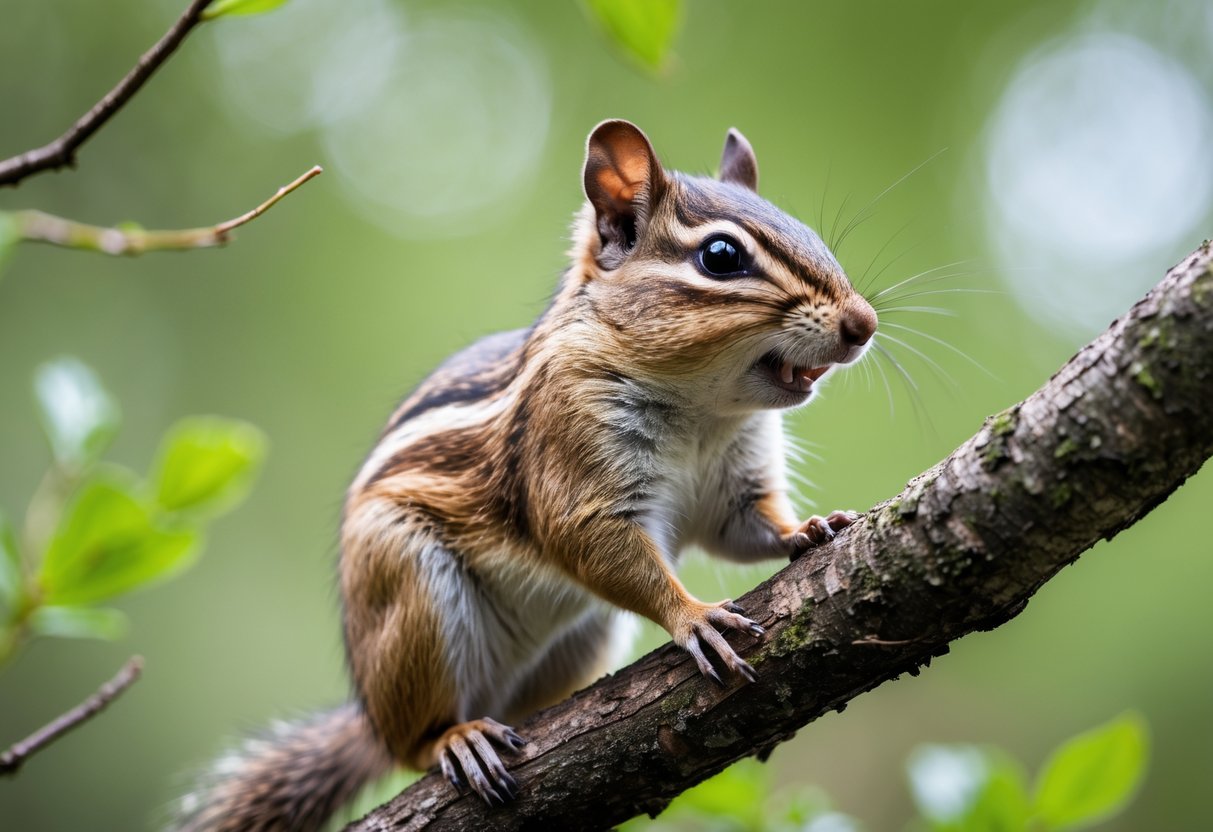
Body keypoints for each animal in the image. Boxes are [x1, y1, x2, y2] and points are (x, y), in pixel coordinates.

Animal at [175, 120, 877, 831]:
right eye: (722, 256)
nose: (864, 324)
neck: (704, 413)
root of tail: (370, 716)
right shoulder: (571, 460)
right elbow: (592, 545)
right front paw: (695, 616)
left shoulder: (736, 482)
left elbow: (746, 528)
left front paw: (810, 528)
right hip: (408, 593)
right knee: (412, 744)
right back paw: (456, 738)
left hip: (583, 636)